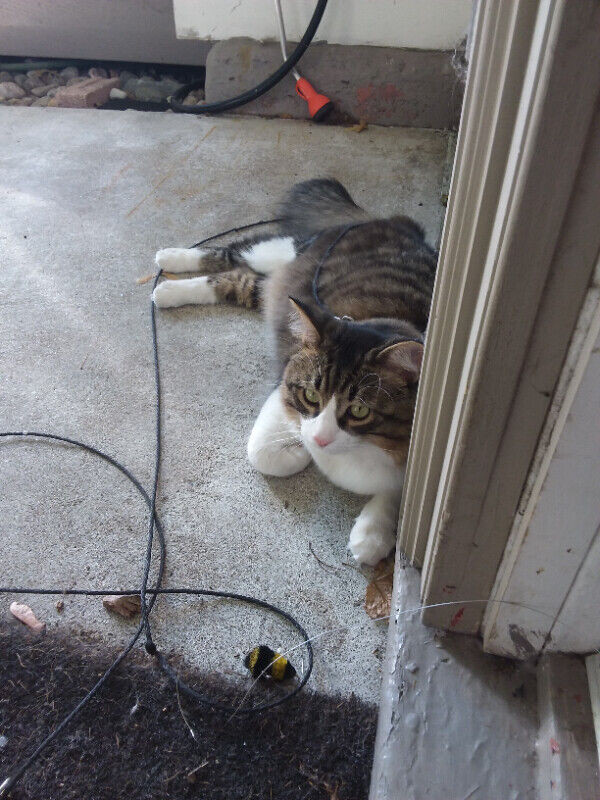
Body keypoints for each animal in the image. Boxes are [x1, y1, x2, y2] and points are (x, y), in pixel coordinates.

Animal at [154, 178, 436, 564]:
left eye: (359, 410)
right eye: (312, 394)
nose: (319, 439)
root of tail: (392, 222)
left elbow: (397, 492)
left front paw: (374, 530)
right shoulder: (282, 391)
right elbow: (263, 452)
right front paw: (300, 451)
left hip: (271, 282)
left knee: (236, 280)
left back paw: (168, 285)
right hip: (281, 253)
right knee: (231, 254)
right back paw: (168, 266)